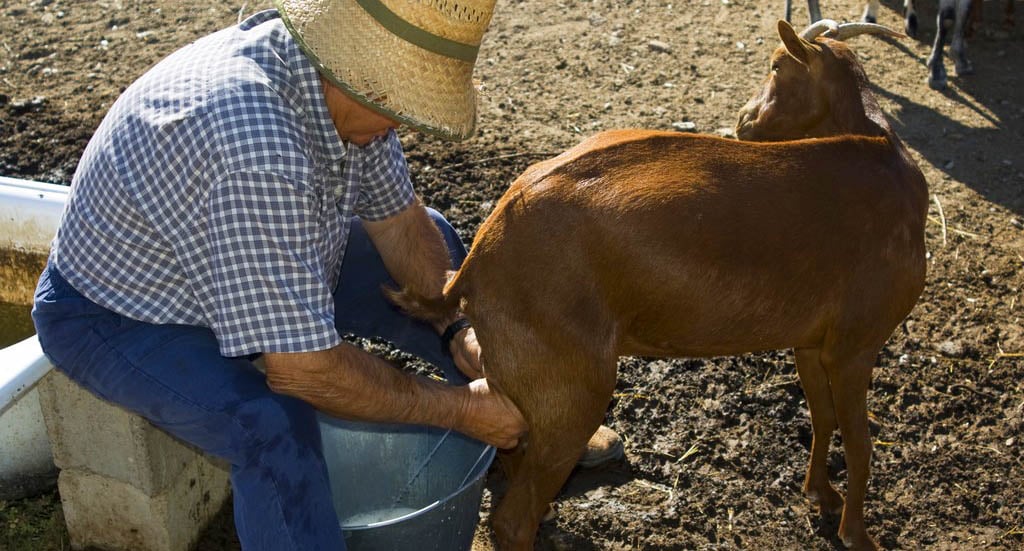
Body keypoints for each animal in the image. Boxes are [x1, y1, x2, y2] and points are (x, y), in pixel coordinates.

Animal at [387, 18, 925, 548]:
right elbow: (861, 445)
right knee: (512, 519)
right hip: (571, 391)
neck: (886, 166)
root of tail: (482, 250)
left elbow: (823, 418)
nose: (743, 122)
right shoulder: (855, 346)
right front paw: (857, 535)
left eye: (776, 67)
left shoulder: (813, 344)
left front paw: (821, 495)